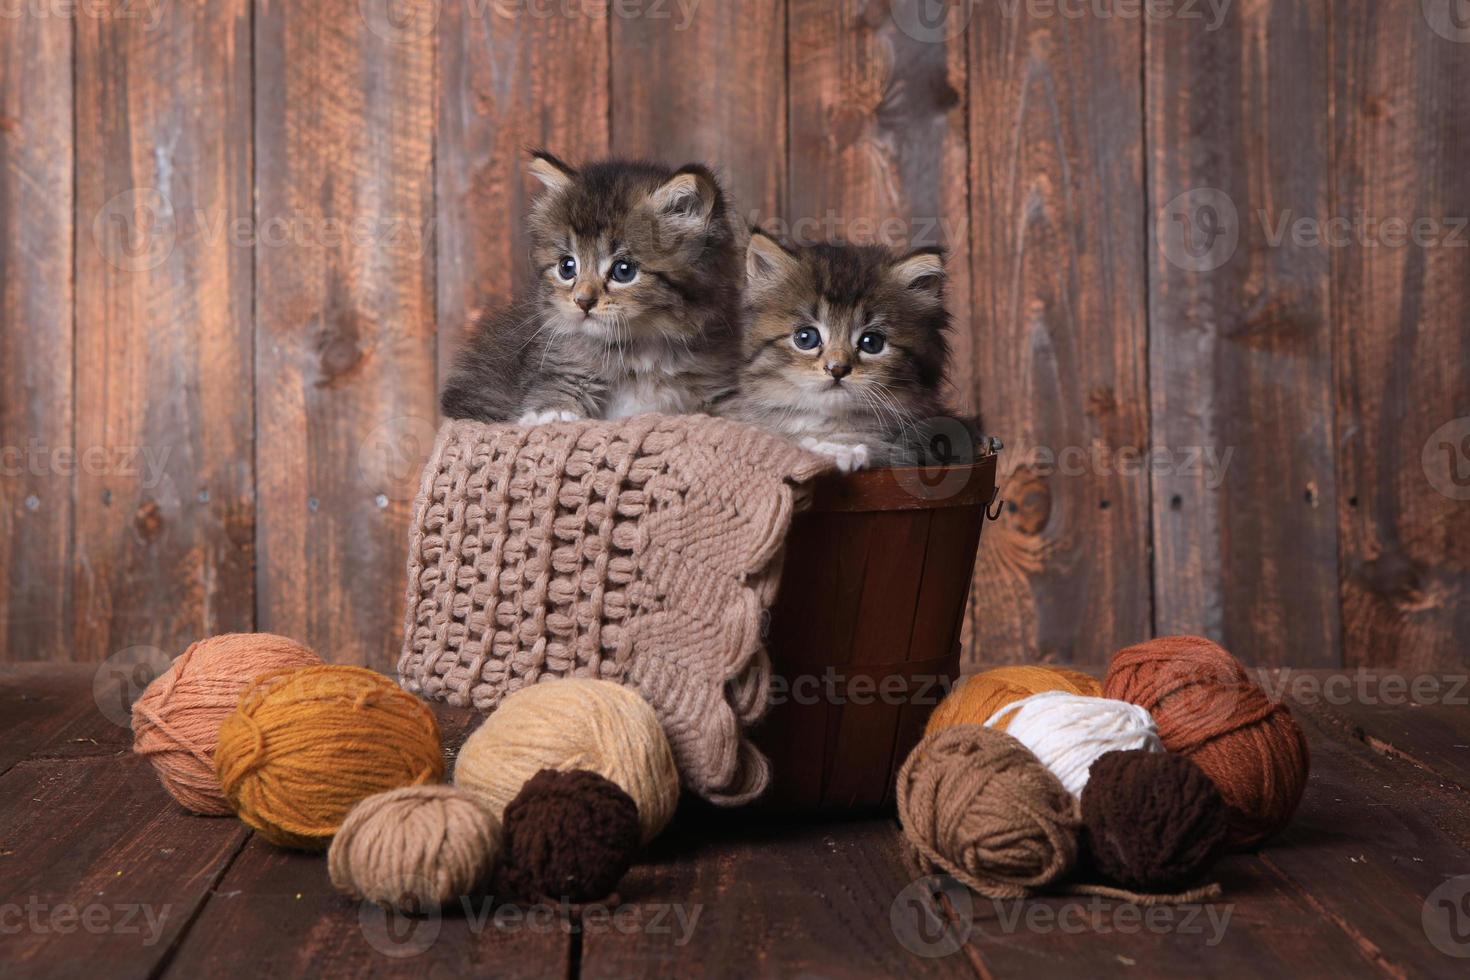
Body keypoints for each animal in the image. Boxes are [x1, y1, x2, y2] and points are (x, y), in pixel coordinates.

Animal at [438, 151, 746, 423]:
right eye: (567, 266)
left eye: (624, 270)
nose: (583, 301)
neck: (638, 352)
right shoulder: (556, 363)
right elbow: (552, 389)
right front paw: (554, 416)